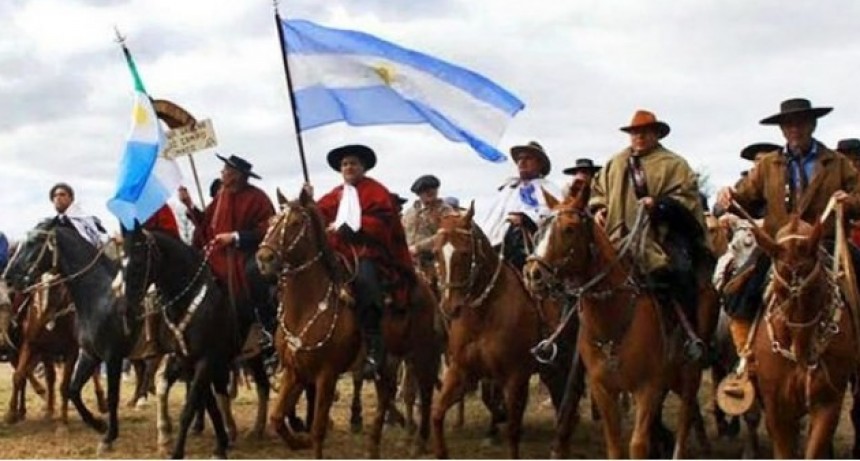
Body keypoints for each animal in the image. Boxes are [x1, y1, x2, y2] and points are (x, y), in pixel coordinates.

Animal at [1, 219, 128, 452]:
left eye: (33, 242)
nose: (9, 277)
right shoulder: (32, 344)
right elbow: (20, 375)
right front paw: (12, 413)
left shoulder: (72, 350)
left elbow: (64, 385)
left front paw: (63, 423)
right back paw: (47, 409)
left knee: (92, 374)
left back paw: (100, 403)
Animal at [428, 204, 572, 456]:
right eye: (436, 252)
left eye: (464, 253)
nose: (449, 307)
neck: (484, 316)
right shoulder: (461, 371)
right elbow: (437, 414)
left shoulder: (515, 377)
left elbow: (513, 431)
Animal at [520, 189, 716, 458]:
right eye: (540, 230)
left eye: (570, 229)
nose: (532, 274)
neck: (612, 317)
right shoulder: (603, 389)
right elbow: (614, 443)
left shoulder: (647, 387)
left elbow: (638, 445)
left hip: (690, 370)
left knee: (686, 415)